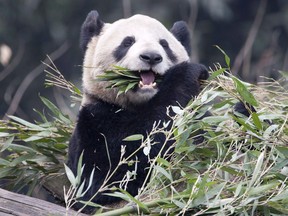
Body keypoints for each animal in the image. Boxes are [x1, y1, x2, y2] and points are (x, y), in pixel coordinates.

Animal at [66, 10, 208, 211]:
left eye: (164, 44)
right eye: (127, 42)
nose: (151, 57)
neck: (139, 103)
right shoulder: (95, 122)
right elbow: (112, 175)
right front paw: (187, 73)